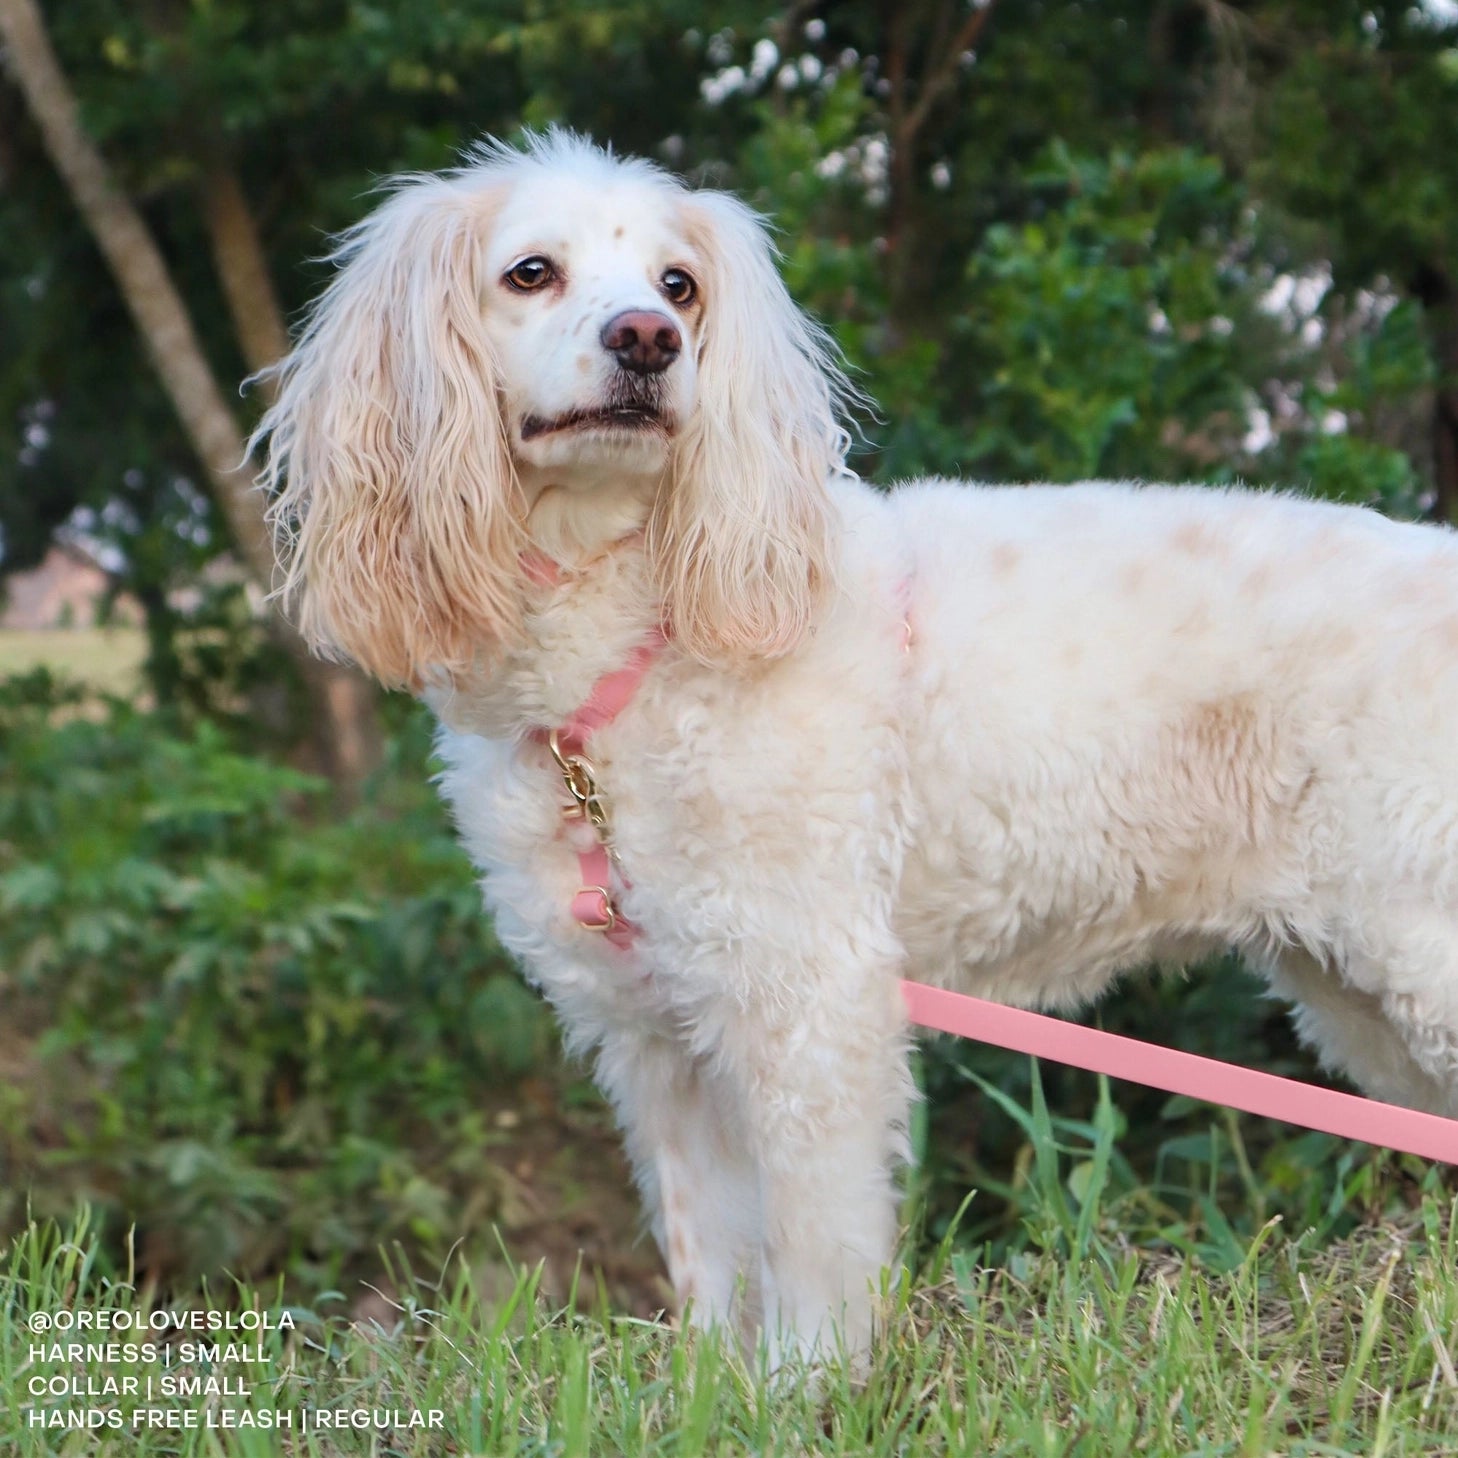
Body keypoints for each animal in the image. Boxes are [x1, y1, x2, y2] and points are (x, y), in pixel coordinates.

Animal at [256, 128, 1458, 1364]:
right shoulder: (653, 1035)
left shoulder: (808, 1000)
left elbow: (812, 1242)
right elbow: (707, 1254)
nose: (648, 339)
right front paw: (717, 1385)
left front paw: (811, 1382)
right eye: (530, 271)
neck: (635, 632)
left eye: (680, 286)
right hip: (1355, 995)